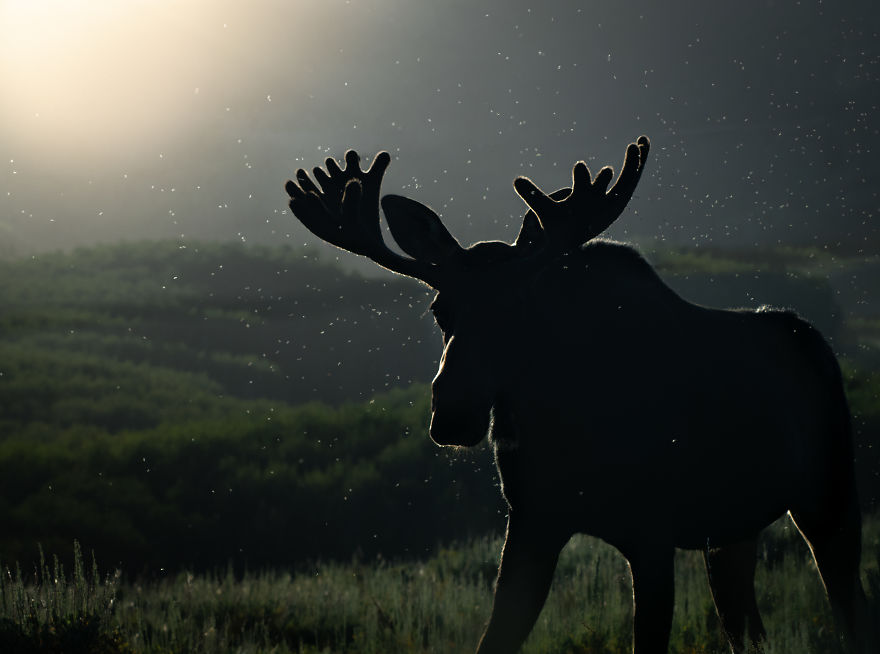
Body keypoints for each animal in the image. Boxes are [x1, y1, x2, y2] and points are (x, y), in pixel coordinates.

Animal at [284, 137, 872, 653]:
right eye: (438, 309)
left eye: (520, 308)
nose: (451, 414)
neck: (564, 424)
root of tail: (819, 346)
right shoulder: (531, 523)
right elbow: (494, 639)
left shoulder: (651, 533)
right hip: (731, 530)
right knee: (747, 628)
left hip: (828, 496)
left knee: (851, 609)